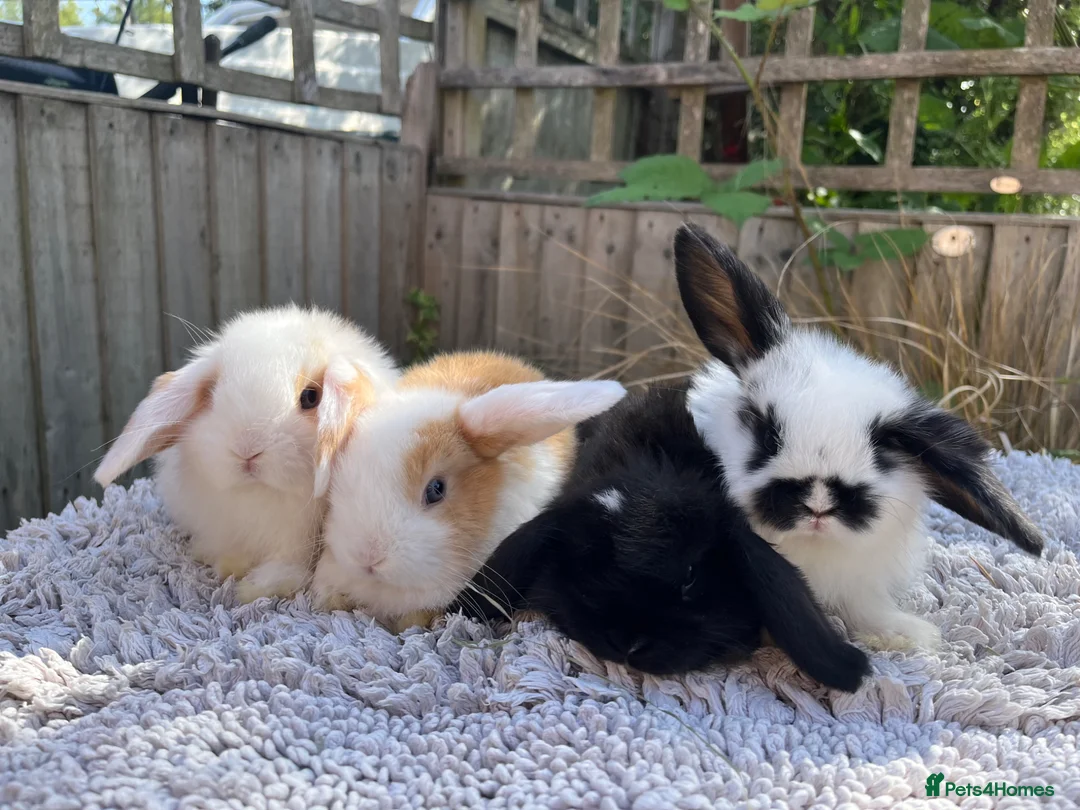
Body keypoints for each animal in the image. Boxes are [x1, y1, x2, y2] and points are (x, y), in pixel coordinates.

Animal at [93, 305, 400, 602]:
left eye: (311, 397)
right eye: (213, 394)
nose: (247, 450)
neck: (261, 496)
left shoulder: (297, 542)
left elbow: (289, 565)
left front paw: (255, 588)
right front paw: (227, 564)